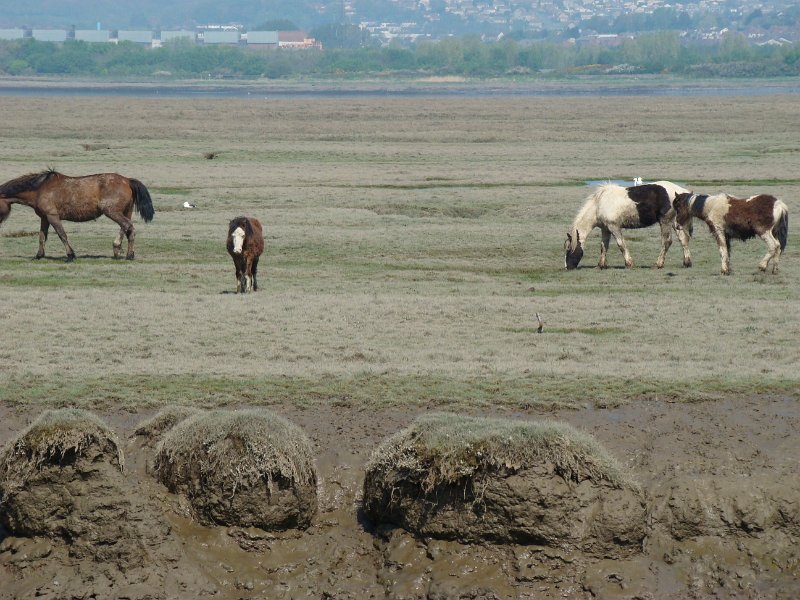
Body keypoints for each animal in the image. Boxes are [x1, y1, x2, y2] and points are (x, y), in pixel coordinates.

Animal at [0, 169, 154, 261]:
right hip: (125, 212)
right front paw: (39, 255)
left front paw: (70, 255)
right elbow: (42, 237)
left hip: (112, 212)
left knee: (127, 226)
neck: (39, 189)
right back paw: (128, 254)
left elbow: (62, 235)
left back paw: (119, 249)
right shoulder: (45, 218)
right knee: (129, 229)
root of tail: (127, 180)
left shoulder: (52, 216)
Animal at [564, 181, 693, 270]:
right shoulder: (605, 229)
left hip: (665, 222)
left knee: (667, 242)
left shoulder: (614, 227)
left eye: (569, 249)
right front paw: (601, 265)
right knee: (684, 240)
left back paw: (658, 264)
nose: (567, 267)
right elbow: (604, 246)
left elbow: (621, 245)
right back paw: (687, 262)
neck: (599, 204)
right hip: (675, 222)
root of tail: (681, 193)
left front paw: (629, 263)